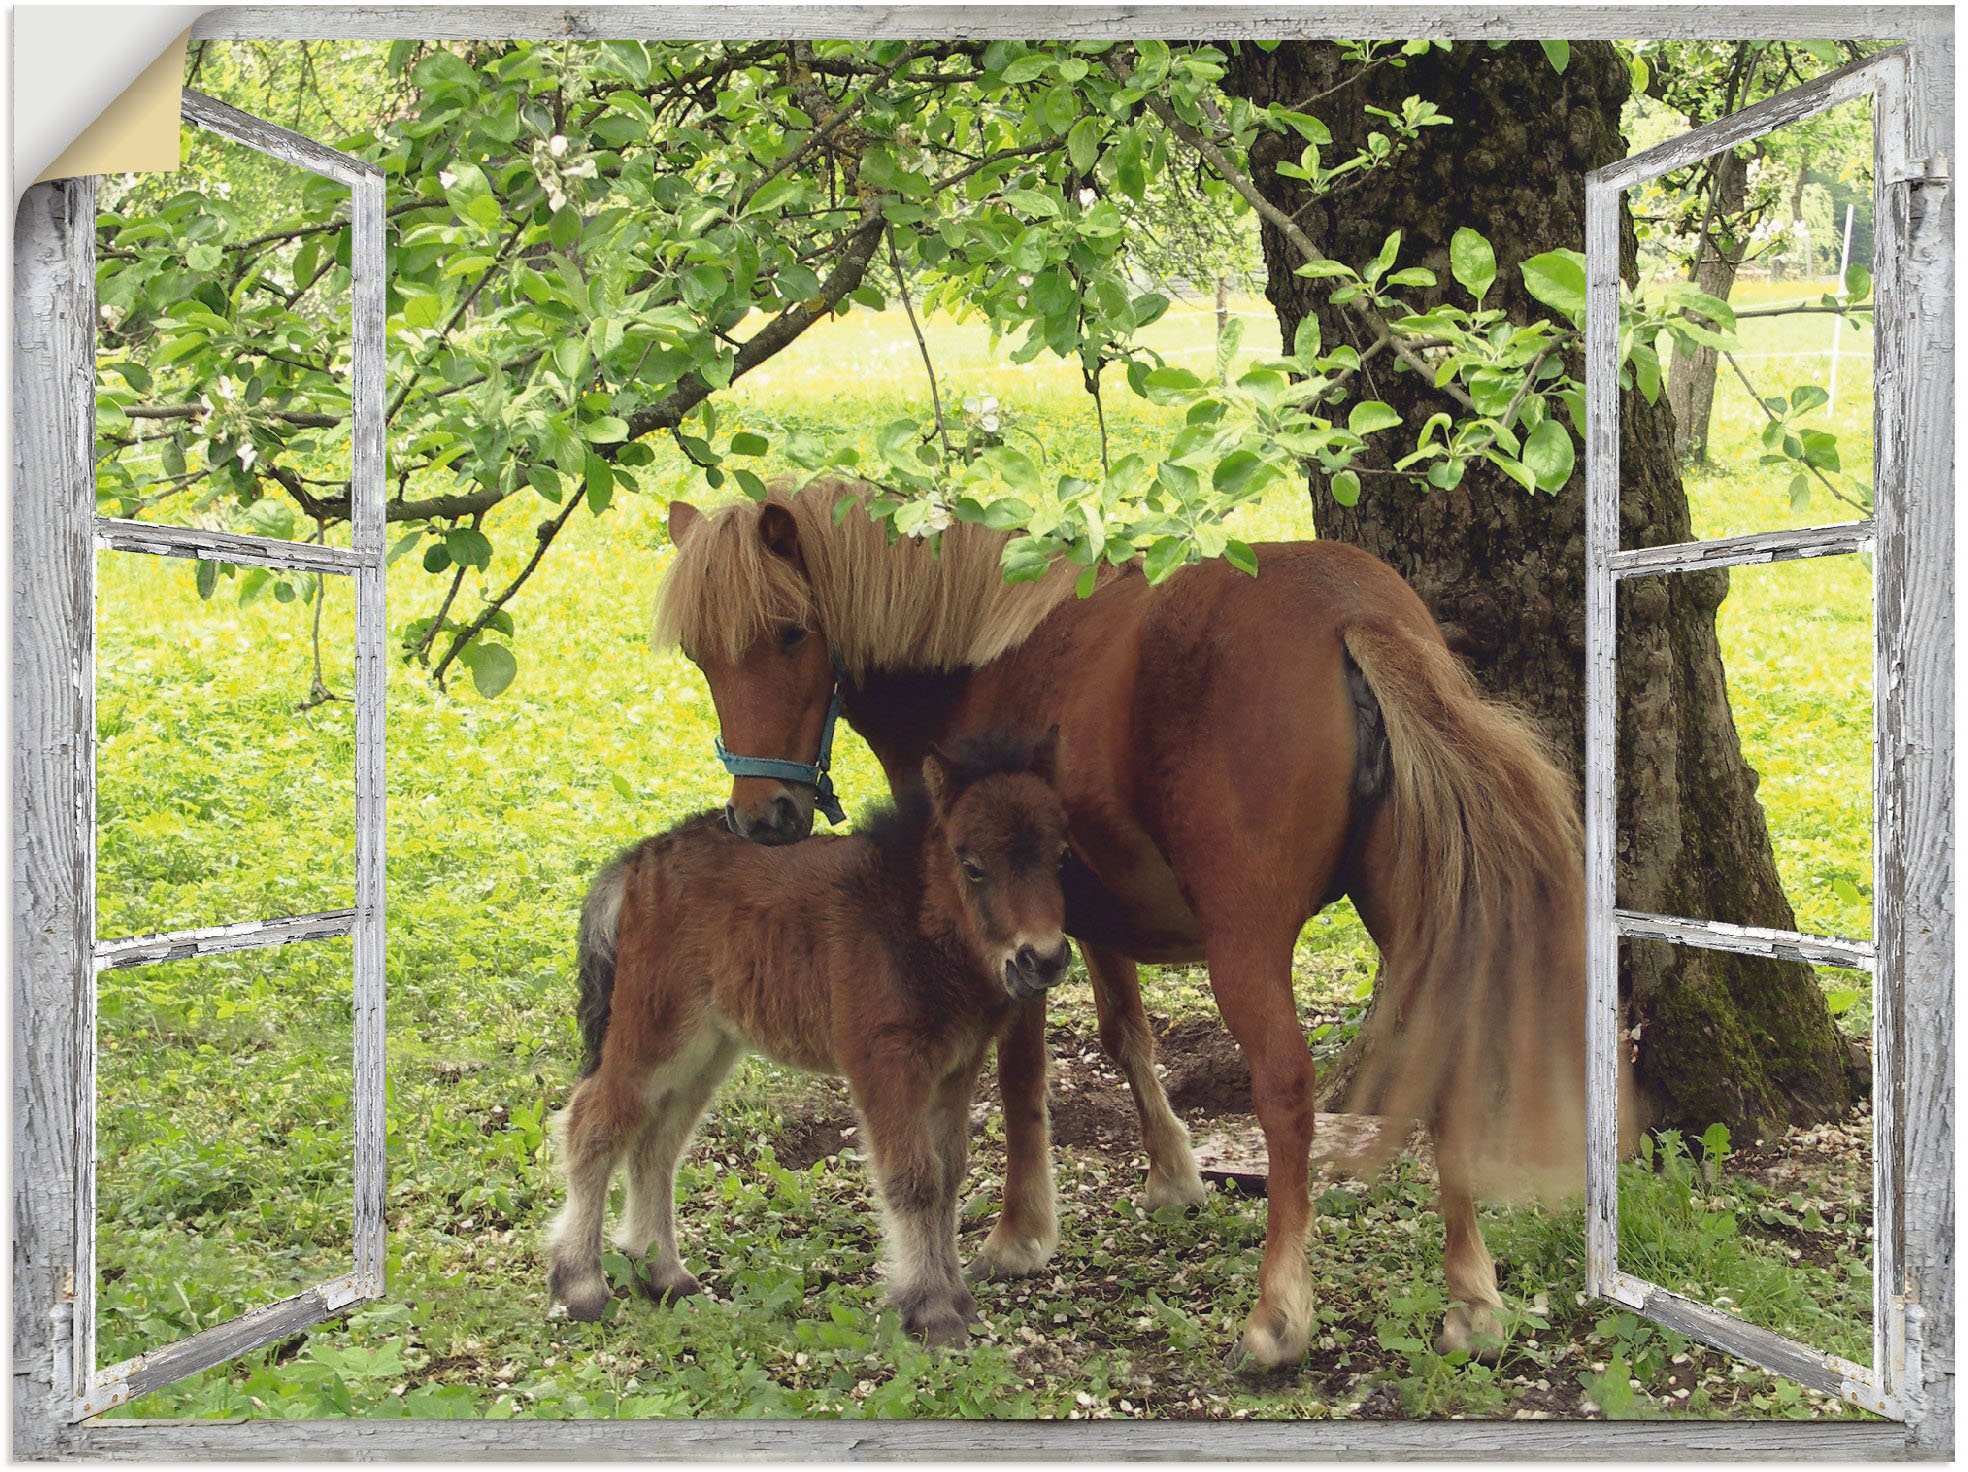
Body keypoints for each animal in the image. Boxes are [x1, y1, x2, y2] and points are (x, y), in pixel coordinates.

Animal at [547, 728, 1078, 1346]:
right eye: (972, 867)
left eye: (1060, 858)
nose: (1042, 959)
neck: (910, 916)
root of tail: (638, 860)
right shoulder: (883, 1062)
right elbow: (914, 1179)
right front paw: (930, 1311)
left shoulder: (955, 1068)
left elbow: (947, 1177)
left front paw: (958, 1301)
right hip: (653, 1031)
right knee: (594, 1124)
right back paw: (581, 1285)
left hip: (707, 1048)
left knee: (657, 1142)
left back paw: (665, 1275)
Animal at [653, 482, 1590, 1369]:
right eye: (700, 655)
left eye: (791, 633)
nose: (762, 818)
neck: (976, 657)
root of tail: (1350, 612)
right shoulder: (1090, 919)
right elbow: (1124, 1035)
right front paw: (1172, 1173)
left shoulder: (1010, 942)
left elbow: (1023, 1077)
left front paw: (1020, 1232)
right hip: (1411, 915)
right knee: (1443, 1060)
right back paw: (1473, 1302)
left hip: (1246, 944)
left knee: (1285, 1091)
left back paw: (1277, 1315)